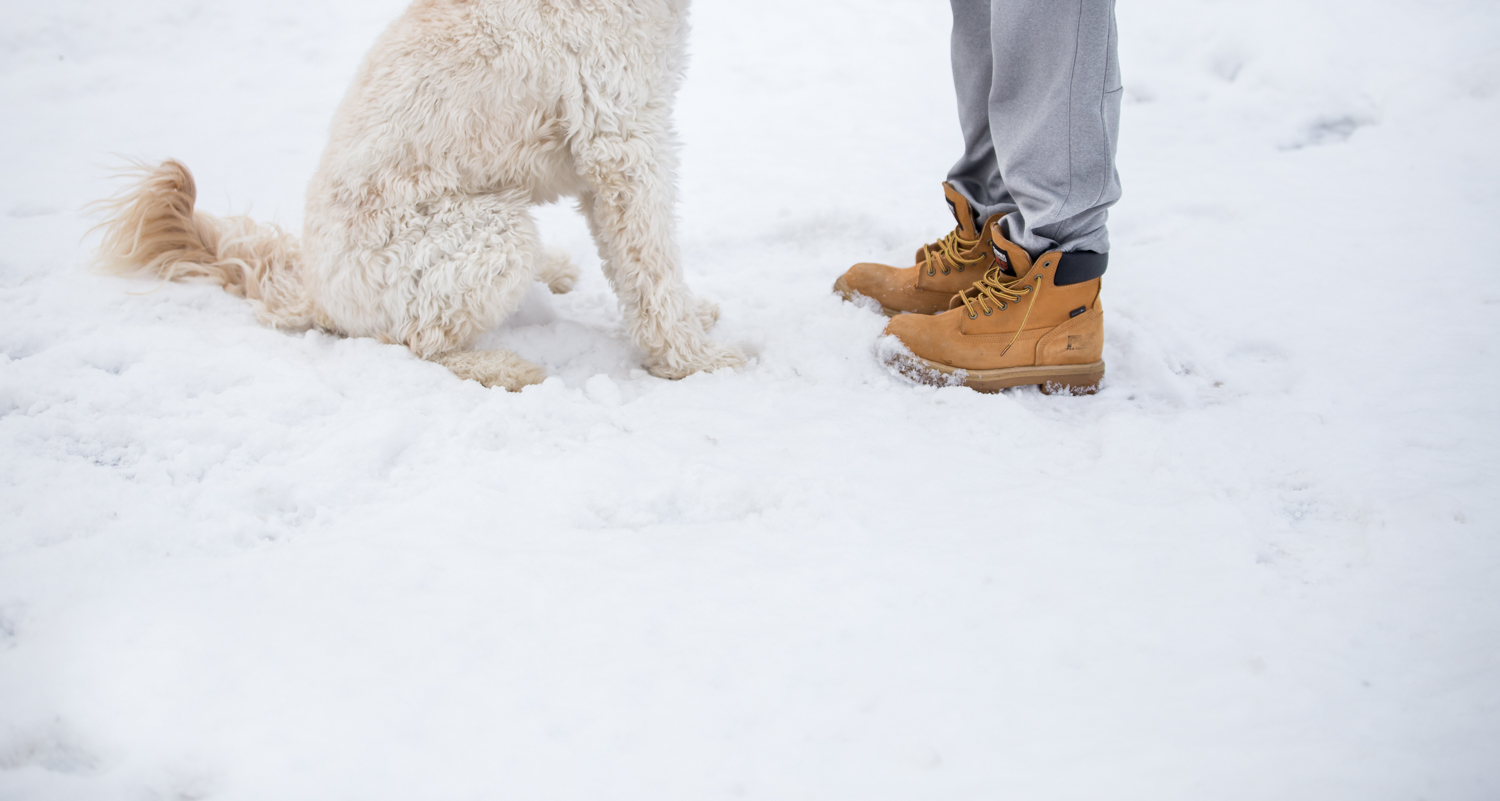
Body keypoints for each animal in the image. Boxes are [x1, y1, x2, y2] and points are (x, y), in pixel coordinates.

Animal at [96, 0, 741, 390]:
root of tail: (315, 291)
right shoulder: (622, 143)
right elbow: (651, 263)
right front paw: (695, 362)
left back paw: (553, 271)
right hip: (490, 236)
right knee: (420, 341)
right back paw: (502, 367)